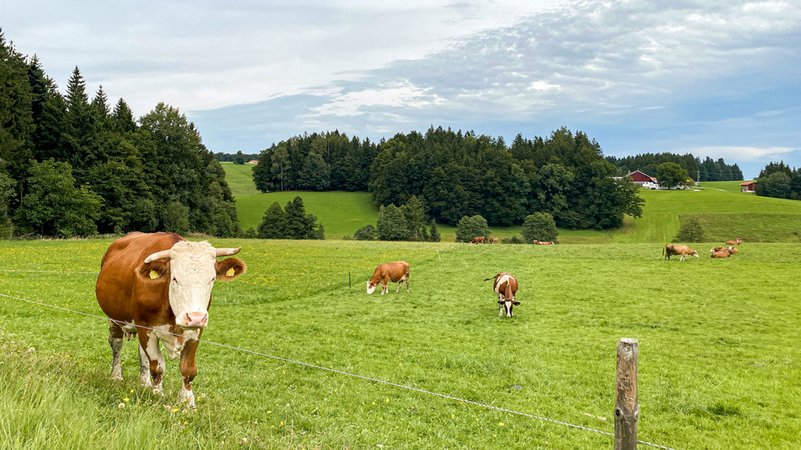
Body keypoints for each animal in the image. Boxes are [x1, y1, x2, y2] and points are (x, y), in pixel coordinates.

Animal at [96, 232, 246, 408]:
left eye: (212, 279)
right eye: (174, 278)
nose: (195, 317)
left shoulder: (196, 331)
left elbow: (188, 369)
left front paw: (188, 402)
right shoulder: (146, 328)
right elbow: (158, 366)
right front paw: (157, 395)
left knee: (141, 353)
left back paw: (144, 382)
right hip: (115, 319)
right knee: (116, 345)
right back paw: (116, 376)